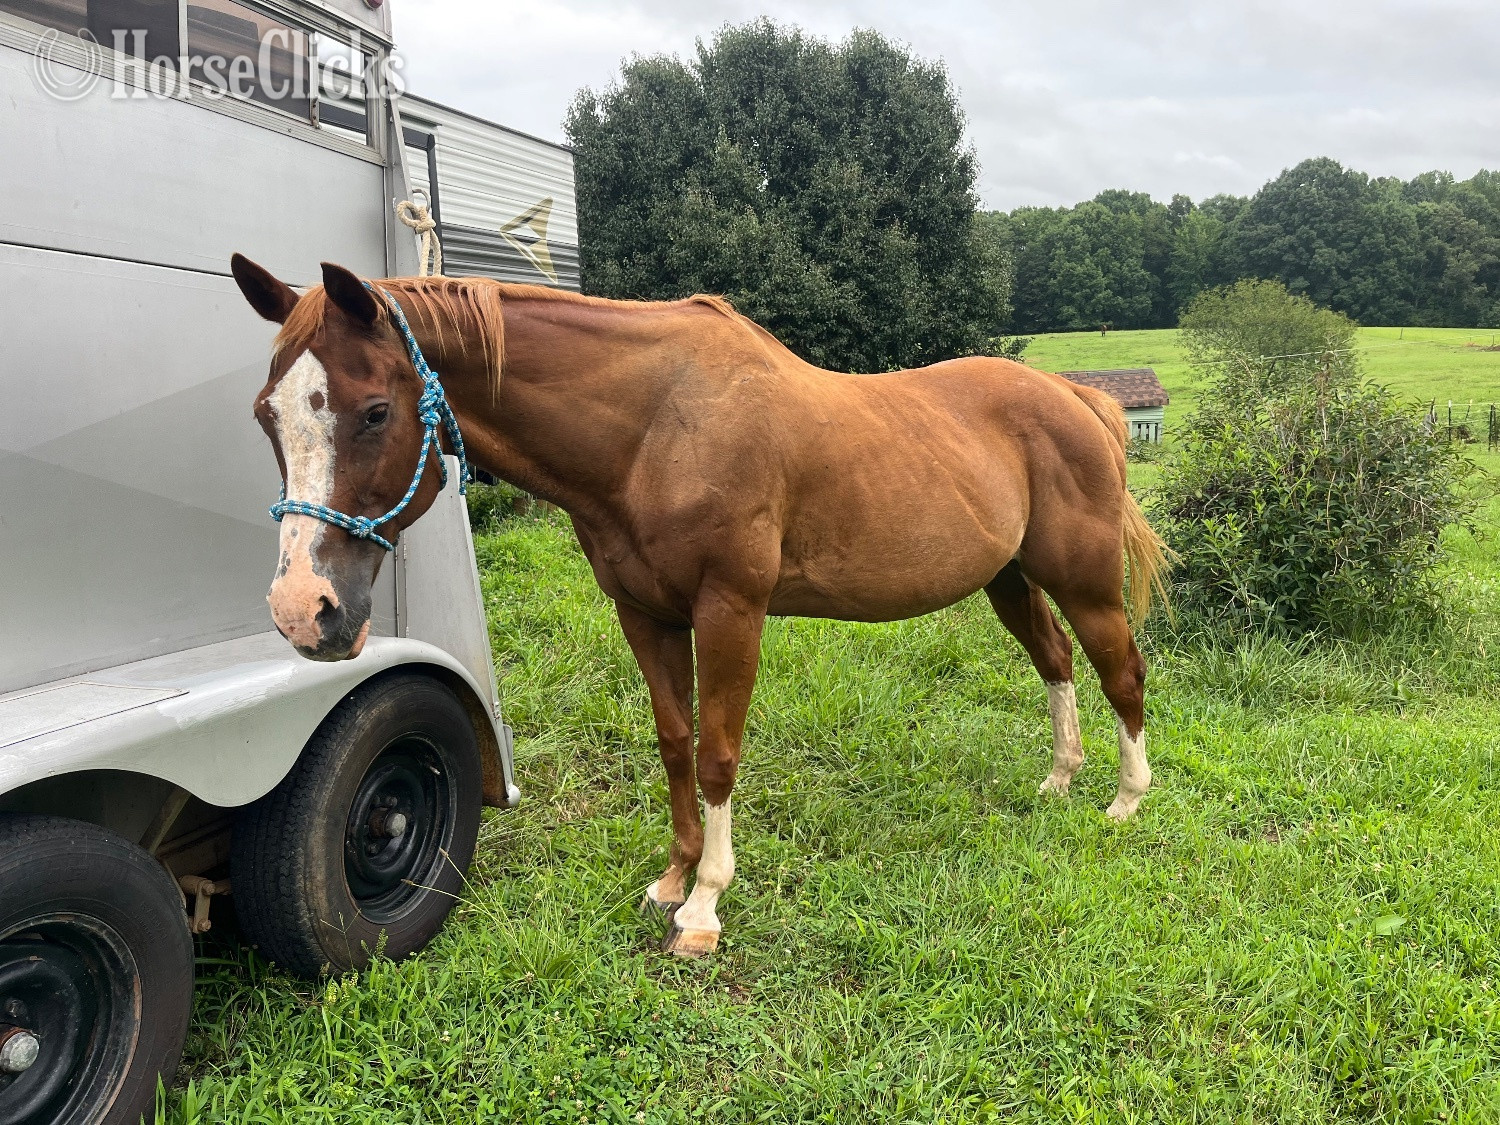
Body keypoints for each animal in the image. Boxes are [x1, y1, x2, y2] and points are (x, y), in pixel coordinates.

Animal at [230, 255, 1170, 958]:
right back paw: (1060, 776)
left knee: (1120, 668)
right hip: (1008, 579)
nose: (304, 609)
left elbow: (718, 753)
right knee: (1055, 661)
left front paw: (706, 908)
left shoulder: (731, 611)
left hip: (1083, 579)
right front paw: (672, 877)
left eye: (374, 411)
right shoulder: (645, 614)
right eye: (266, 416)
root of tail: (1077, 398)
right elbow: (675, 739)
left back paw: (1126, 799)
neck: (656, 425)